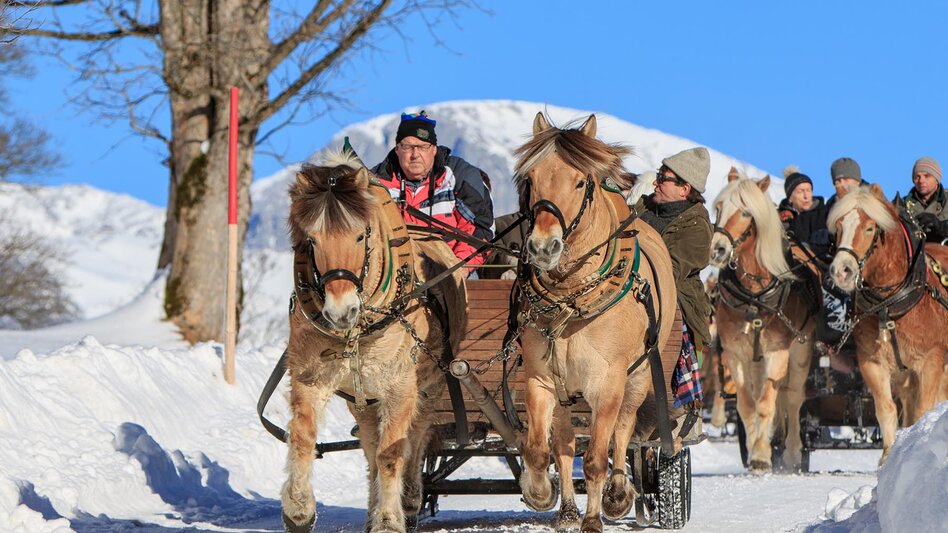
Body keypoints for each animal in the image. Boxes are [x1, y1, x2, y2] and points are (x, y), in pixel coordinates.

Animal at [280, 149, 467, 533]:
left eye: (359, 236)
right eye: (312, 240)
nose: (340, 311)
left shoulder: (399, 385)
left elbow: (392, 452)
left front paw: (389, 520)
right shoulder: (310, 376)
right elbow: (303, 434)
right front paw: (298, 508)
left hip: (431, 385)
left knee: (416, 436)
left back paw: (408, 498)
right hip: (362, 397)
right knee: (369, 445)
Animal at [513, 113, 677, 532]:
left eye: (579, 181)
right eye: (531, 178)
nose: (543, 247)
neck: (572, 299)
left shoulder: (608, 382)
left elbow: (597, 457)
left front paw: (596, 516)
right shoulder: (540, 377)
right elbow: (540, 450)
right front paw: (540, 492)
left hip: (638, 376)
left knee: (623, 433)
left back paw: (617, 493)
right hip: (565, 389)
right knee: (564, 441)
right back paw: (568, 510)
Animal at [708, 175, 817, 471]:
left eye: (747, 212)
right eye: (719, 207)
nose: (717, 249)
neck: (755, 296)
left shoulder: (777, 352)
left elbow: (769, 403)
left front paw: (760, 454)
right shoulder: (735, 354)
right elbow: (748, 405)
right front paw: (757, 449)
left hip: (800, 351)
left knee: (793, 398)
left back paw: (792, 453)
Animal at [826, 183, 948, 462]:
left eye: (870, 228)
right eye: (839, 226)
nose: (841, 271)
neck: (890, 306)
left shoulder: (931, 361)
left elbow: (925, 409)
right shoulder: (873, 363)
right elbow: (886, 410)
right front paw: (888, 458)